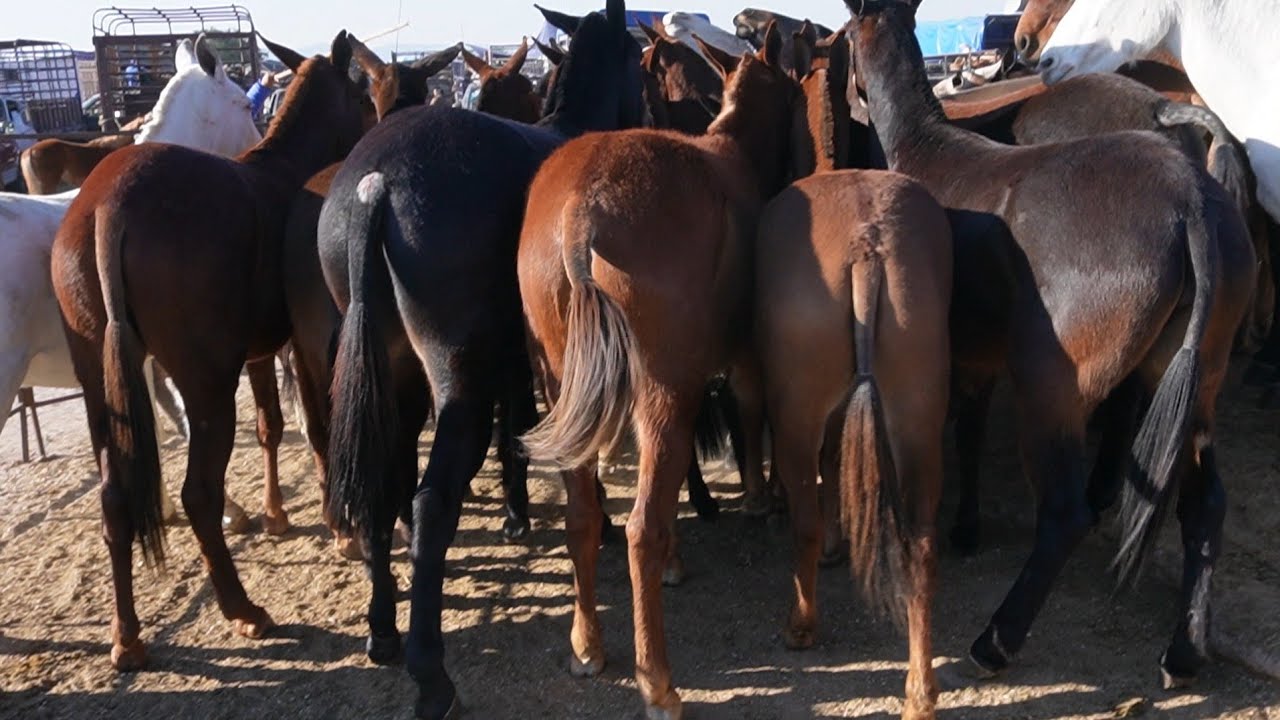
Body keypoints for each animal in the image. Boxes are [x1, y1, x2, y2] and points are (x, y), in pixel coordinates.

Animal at [50, 31, 367, 671]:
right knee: (198, 494)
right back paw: (243, 608)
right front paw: (337, 522)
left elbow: (277, 425)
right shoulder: (297, 344)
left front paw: (283, 514)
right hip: (207, 382)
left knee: (115, 498)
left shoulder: (262, 350)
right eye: (362, 94)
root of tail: (108, 205)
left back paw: (127, 635)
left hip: (98, 376)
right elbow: (317, 426)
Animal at [317, 3, 646, 716]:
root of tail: (376, 187)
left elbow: (517, 426)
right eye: (639, 53)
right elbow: (537, 429)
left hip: (394, 377)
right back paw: (429, 673)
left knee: (385, 487)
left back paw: (383, 630)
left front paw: (522, 512)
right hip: (454, 381)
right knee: (429, 501)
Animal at [517, 24, 795, 719]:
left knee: (584, 516)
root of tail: (582, 207)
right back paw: (658, 680)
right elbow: (750, 405)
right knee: (640, 525)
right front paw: (758, 498)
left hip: (571, 387)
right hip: (665, 388)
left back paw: (587, 642)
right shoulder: (730, 358)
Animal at [845, 0, 1255, 691]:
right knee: (1204, 506)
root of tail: (1190, 203)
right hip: (1197, 379)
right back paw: (1184, 650)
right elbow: (970, 431)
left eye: (842, 35)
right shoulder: (978, 354)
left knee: (1064, 513)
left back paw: (996, 641)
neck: (928, 147)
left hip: (1052, 388)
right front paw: (967, 526)